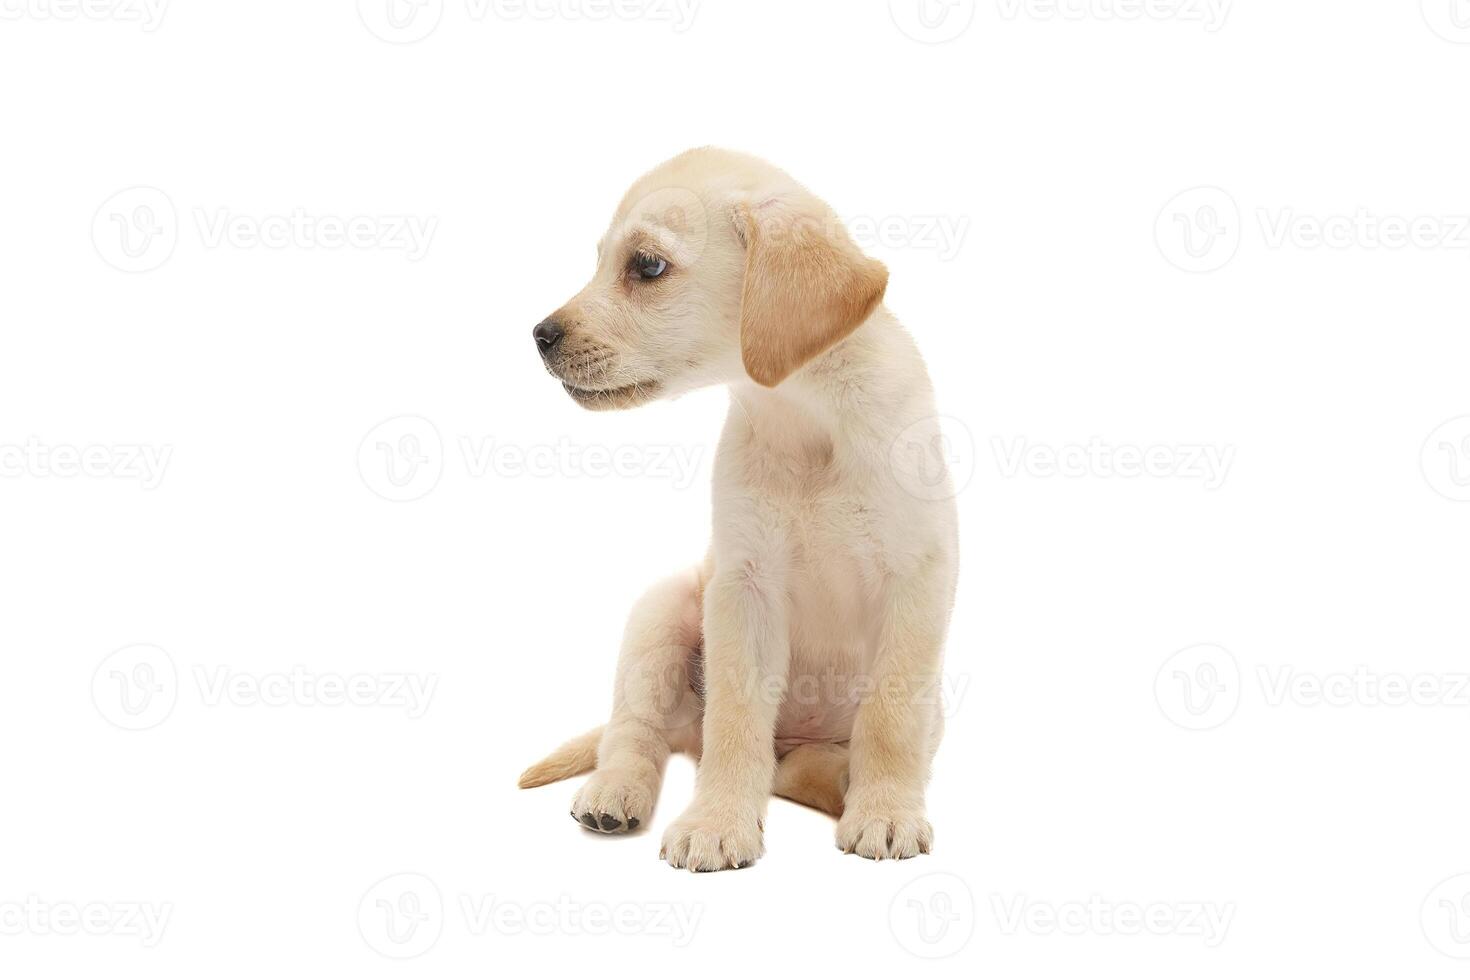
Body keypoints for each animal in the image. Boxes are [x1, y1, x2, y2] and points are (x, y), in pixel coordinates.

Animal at [523, 147, 958, 875]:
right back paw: (615, 793)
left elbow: (890, 720)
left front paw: (885, 811)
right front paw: (718, 822)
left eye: (647, 266)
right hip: (663, 611)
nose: (540, 336)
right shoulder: (742, 585)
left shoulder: (918, 579)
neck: (806, 417)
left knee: (800, 766)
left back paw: (842, 783)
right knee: (637, 733)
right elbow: (733, 721)